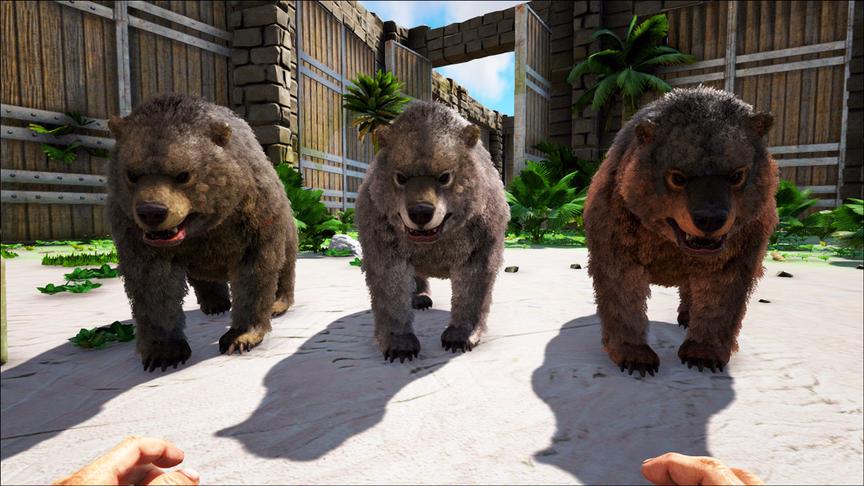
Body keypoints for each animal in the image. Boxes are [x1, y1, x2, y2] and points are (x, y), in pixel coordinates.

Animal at [107, 94, 298, 372]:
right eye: (131, 174)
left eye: (183, 175)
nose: (152, 212)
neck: (204, 228)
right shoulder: (131, 229)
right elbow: (152, 284)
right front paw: (164, 353)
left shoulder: (254, 215)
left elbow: (256, 271)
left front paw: (240, 337)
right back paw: (215, 303)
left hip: (286, 224)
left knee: (285, 264)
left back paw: (278, 303)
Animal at [355, 101, 510, 362]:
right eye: (400, 177)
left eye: (445, 177)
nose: (420, 212)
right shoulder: (381, 235)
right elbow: (390, 288)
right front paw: (400, 346)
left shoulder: (481, 239)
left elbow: (472, 288)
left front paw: (460, 338)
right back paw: (420, 299)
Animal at [584, 86, 778, 376]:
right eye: (677, 177)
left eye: (736, 176)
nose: (709, 218)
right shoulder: (615, 236)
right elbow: (622, 296)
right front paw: (635, 357)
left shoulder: (740, 249)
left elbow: (720, 301)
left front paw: (703, 354)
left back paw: (687, 317)